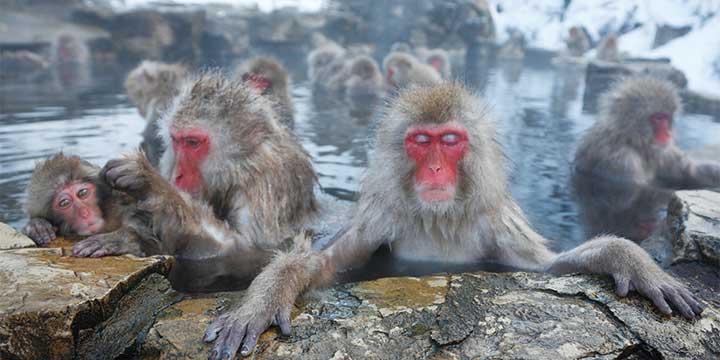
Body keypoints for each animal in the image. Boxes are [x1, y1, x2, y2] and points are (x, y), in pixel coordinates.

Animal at [202, 83, 704, 358]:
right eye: (422, 141)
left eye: (450, 140)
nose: (436, 170)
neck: (439, 218)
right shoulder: (383, 216)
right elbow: (322, 266)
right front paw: (260, 301)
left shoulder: (497, 223)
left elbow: (547, 268)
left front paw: (630, 260)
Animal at [572, 77, 720, 242]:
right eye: (657, 118)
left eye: (666, 117)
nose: (667, 134)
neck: (632, 140)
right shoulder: (621, 160)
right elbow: (637, 189)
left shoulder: (663, 152)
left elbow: (686, 171)